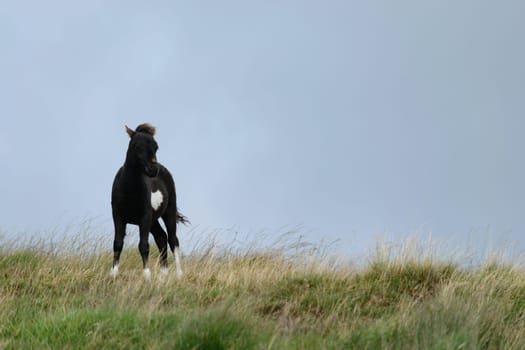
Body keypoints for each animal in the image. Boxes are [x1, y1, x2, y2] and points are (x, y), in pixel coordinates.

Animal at [109, 123, 187, 278]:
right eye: (136, 146)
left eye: (156, 146)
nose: (152, 170)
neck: (129, 190)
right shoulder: (118, 216)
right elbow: (118, 243)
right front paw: (113, 273)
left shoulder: (144, 217)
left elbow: (143, 245)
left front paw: (146, 276)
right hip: (153, 220)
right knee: (161, 238)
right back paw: (163, 276)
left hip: (168, 211)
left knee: (173, 240)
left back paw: (179, 275)